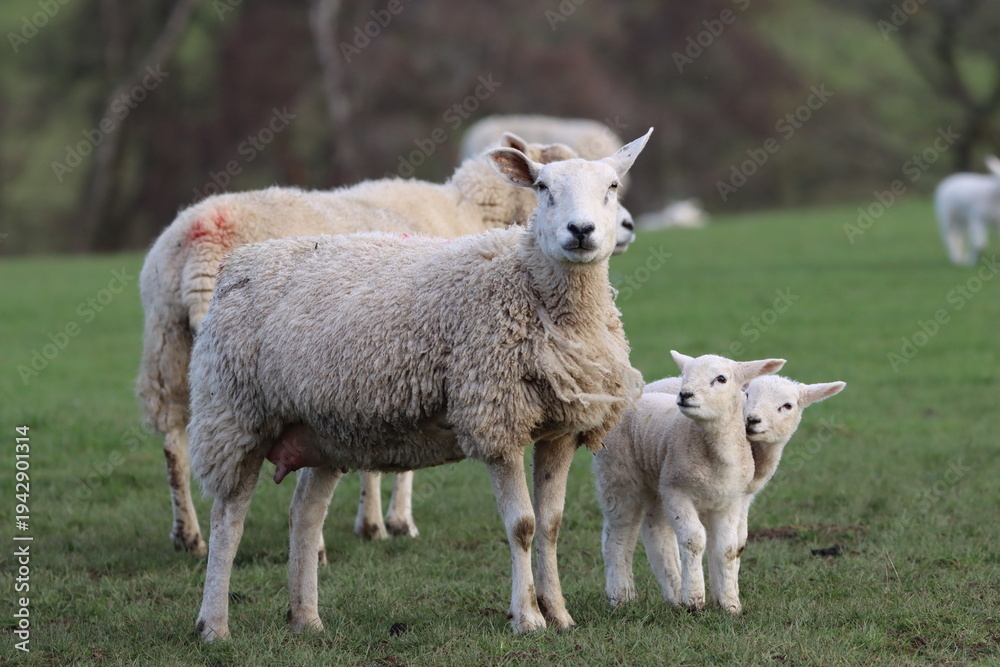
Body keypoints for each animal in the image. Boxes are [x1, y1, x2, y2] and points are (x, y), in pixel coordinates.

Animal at [137, 135, 584, 557]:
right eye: (547, 183)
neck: (469, 210)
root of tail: (205, 236)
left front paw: (374, 523)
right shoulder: (411, 355)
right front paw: (392, 522)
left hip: (169, 345)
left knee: (173, 444)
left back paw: (188, 535)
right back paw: (312, 546)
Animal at [187, 129, 653, 641]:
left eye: (612, 186)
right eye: (542, 186)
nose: (581, 230)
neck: (533, 290)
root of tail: (237, 262)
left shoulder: (563, 427)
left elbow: (551, 525)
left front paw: (560, 613)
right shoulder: (495, 418)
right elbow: (523, 525)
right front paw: (528, 617)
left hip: (320, 427)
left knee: (305, 515)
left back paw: (306, 619)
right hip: (234, 413)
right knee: (228, 519)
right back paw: (214, 625)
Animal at [594, 351, 784, 613]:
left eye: (721, 379)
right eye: (684, 376)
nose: (685, 395)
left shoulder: (730, 500)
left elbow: (727, 549)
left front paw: (730, 604)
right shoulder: (677, 490)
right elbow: (694, 539)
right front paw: (694, 599)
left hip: (656, 482)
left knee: (655, 533)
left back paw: (671, 595)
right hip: (617, 475)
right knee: (617, 535)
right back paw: (620, 597)